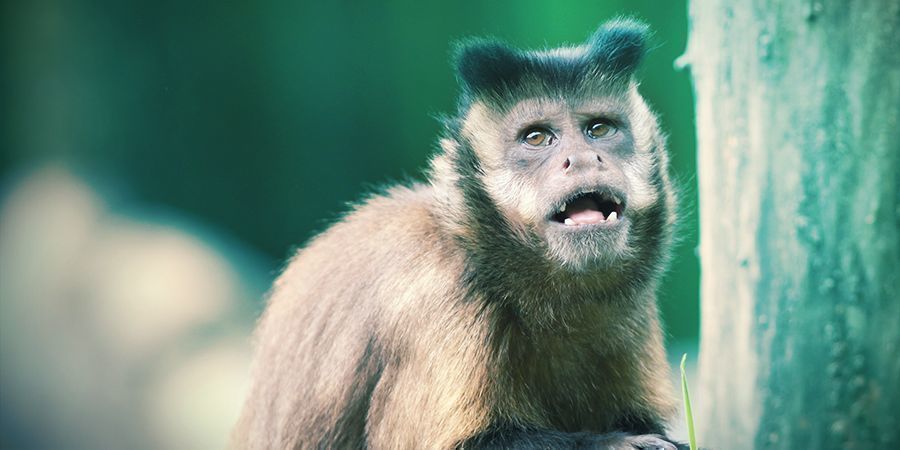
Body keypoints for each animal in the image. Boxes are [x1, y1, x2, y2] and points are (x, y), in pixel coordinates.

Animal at [233, 18, 686, 450]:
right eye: (538, 137)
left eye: (600, 130)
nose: (583, 159)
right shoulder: (442, 293)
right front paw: (616, 443)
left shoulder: (630, 306)